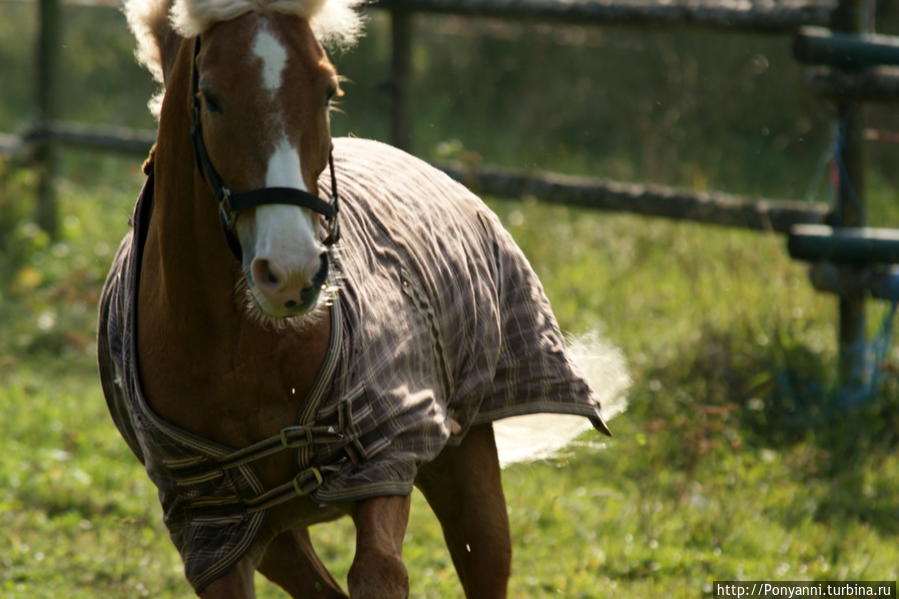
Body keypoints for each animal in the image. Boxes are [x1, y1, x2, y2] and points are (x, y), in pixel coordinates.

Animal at [98, 0, 616, 596]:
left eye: (327, 91)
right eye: (211, 97)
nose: (292, 271)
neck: (239, 350)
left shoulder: (386, 457)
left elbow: (378, 574)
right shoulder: (215, 533)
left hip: (466, 470)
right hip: (281, 537)